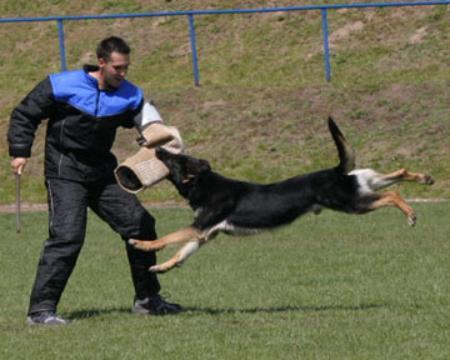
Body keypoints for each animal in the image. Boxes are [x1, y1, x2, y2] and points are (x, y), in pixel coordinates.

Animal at [128, 118, 434, 272]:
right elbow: (181, 253)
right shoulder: (205, 234)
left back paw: (410, 212)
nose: (157, 148)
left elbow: (167, 238)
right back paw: (423, 178)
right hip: (361, 185)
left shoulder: (199, 228)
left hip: (352, 203)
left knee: (392, 195)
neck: (205, 184)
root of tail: (337, 171)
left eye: (174, 159)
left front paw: (143, 244)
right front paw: (162, 267)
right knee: (395, 175)